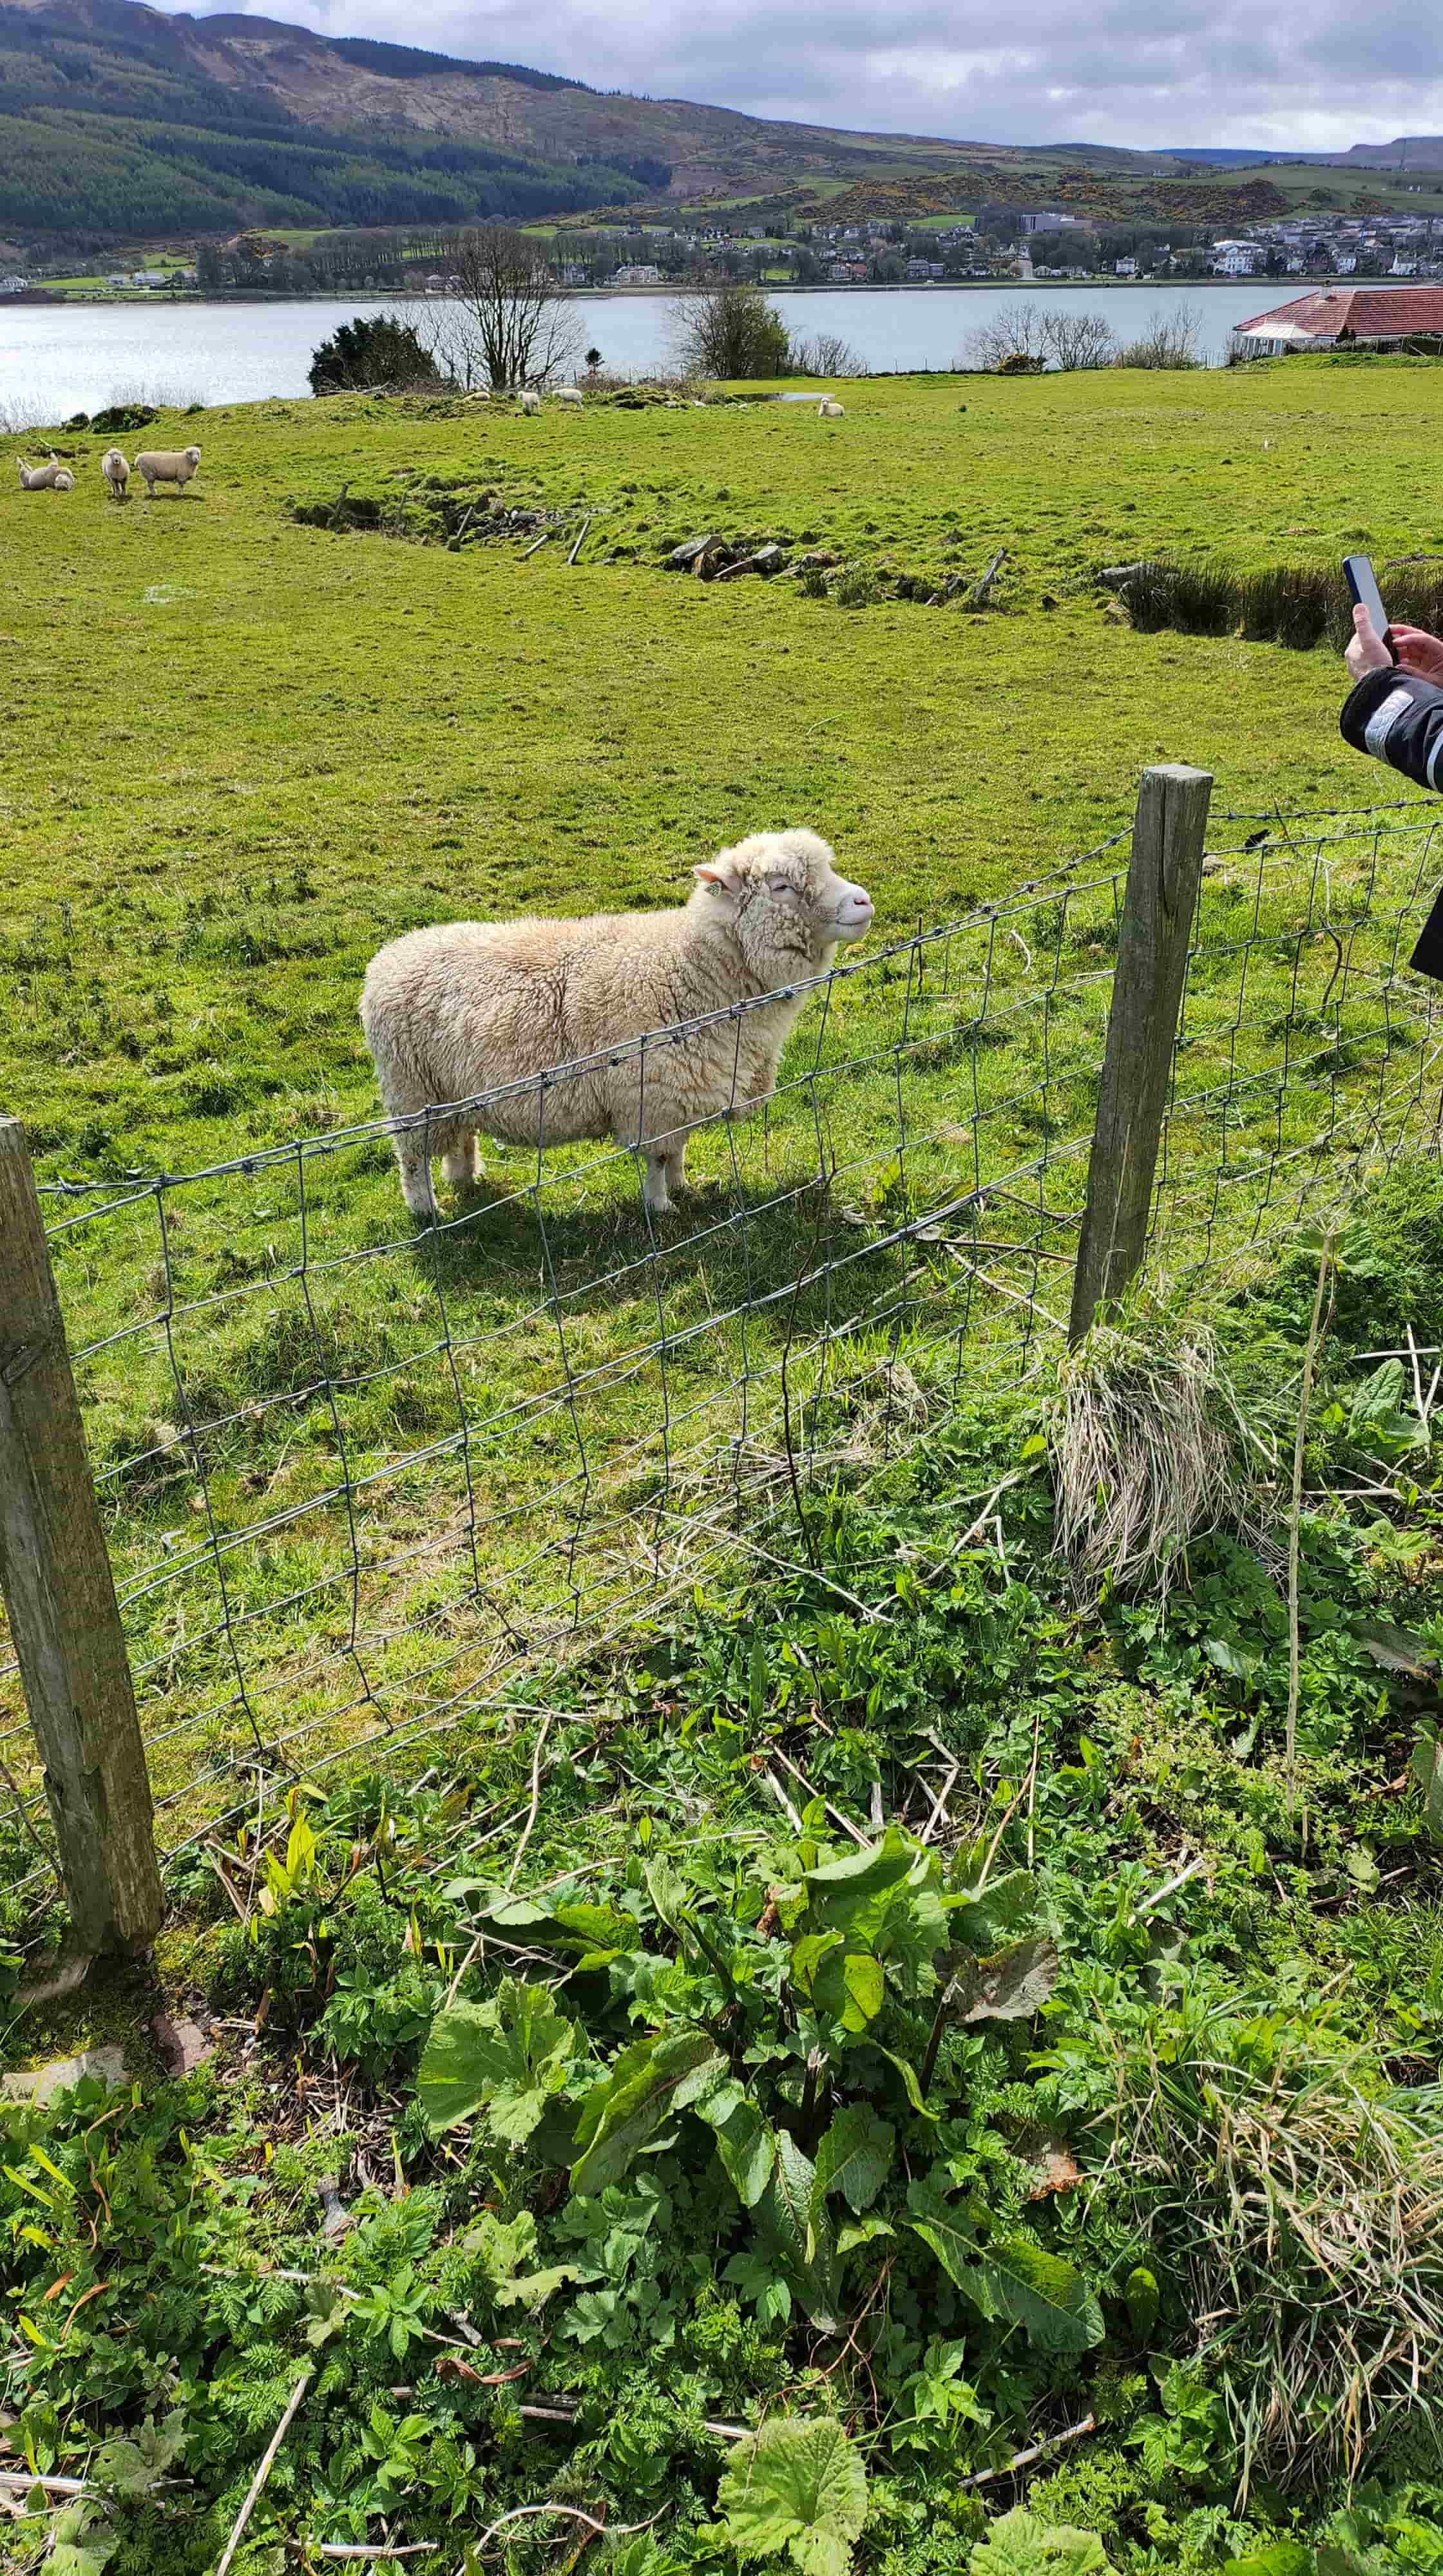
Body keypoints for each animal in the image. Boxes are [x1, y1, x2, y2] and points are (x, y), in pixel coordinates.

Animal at [361, 829, 881, 1221]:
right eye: (781, 886)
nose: (863, 902)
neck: (691, 971)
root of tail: (388, 956)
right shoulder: (652, 1096)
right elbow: (657, 1159)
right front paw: (661, 1206)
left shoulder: (683, 1092)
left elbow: (679, 1150)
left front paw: (683, 1187)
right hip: (412, 1092)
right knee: (412, 1159)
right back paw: (426, 1210)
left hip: (452, 1092)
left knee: (460, 1137)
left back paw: (467, 1178)